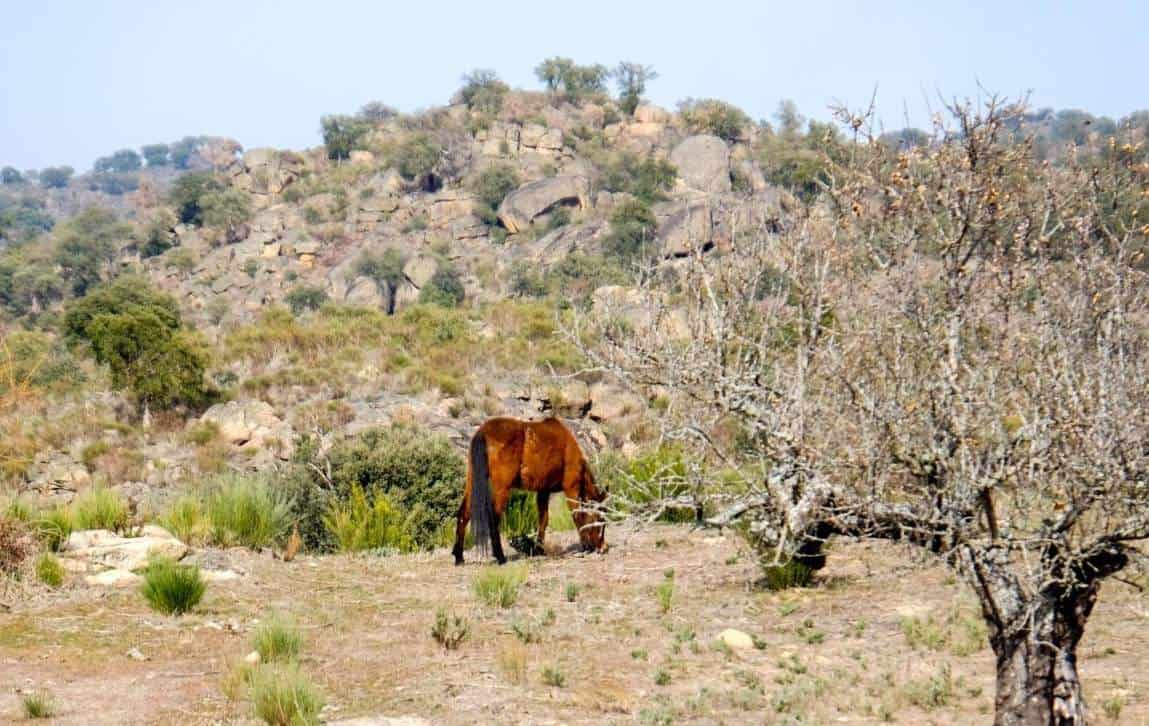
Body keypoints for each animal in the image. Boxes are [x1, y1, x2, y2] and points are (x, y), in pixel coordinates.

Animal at [450, 415, 606, 565]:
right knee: (493, 518)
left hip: (472, 481)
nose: (603, 548)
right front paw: (585, 546)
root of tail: (483, 432)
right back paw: (500, 557)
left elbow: (543, 520)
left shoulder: (543, 491)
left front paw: (539, 549)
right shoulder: (571, 488)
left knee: (463, 514)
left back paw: (459, 557)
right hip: (501, 488)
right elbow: (577, 515)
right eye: (599, 519)